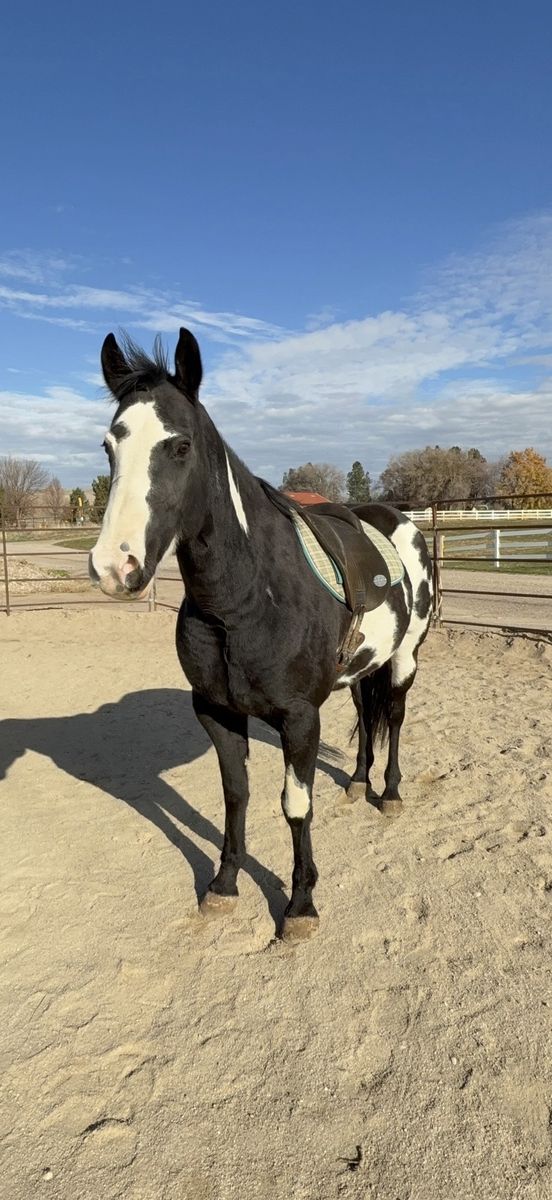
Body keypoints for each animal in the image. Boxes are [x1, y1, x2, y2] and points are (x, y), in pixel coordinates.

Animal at [90, 328, 433, 941]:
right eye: (109, 446)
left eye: (180, 446)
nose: (114, 567)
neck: (244, 601)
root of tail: (402, 522)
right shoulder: (217, 712)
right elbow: (236, 795)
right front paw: (224, 886)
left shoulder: (299, 718)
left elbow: (295, 805)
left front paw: (300, 906)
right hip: (360, 669)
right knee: (367, 716)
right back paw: (358, 782)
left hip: (404, 660)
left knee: (392, 718)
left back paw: (389, 793)